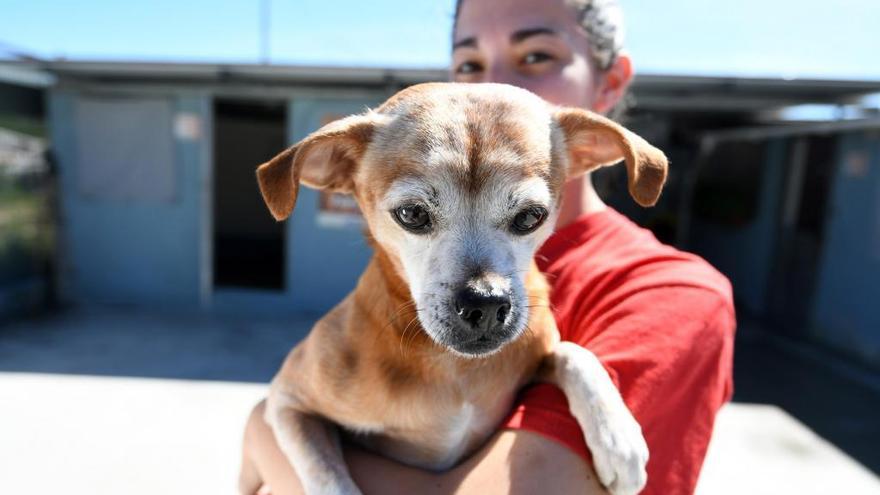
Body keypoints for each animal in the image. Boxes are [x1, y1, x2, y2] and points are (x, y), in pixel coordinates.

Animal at [241, 82, 668, 495]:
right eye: (411, 214)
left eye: (531, 217)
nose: (486, 304)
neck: (454, 366)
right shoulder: (286, 401)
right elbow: (330, 479)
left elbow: (573, 352)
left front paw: (619, 439)